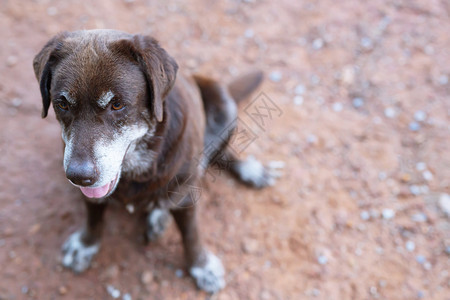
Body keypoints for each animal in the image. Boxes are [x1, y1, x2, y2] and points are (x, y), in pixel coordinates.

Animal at [33, 30, 282, 292]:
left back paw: (250, 170)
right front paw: (85, 244)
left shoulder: (186, 194)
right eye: (62, 104)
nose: (79, 176)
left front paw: (202, 266)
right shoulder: (91, 193)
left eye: (117, 104)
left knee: (214, 156)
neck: (136, 166)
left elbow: (191, 234)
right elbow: (93, 216)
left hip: (222, 103)